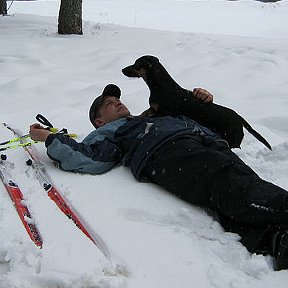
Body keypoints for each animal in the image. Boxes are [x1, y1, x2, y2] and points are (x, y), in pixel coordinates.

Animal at [122, 54, 272, 151]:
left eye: (136, 64)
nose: (122, 69)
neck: (160, 86)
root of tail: (239, 118)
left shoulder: (165, 112)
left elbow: (147, 116)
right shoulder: (153, 108)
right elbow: (144, 113)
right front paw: (133, 116)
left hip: (232, 139)